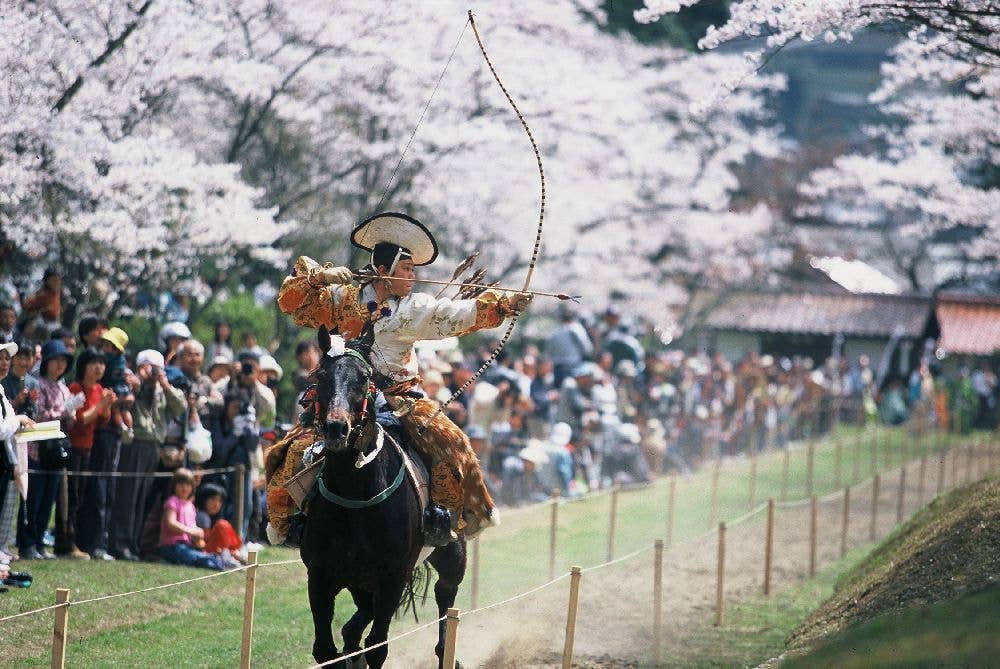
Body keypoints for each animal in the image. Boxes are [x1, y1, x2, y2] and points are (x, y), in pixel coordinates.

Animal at [300, 328, 464, 668]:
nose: (336, 428)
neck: (355, 494)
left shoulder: (392, 578)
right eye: (321, 376)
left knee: (446, 593)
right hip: (358, 581)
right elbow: (325, 651)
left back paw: (447, 653)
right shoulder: (319, 577)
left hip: (451, 554)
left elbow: (378, 646)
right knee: (357, 622)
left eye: (363, 378)